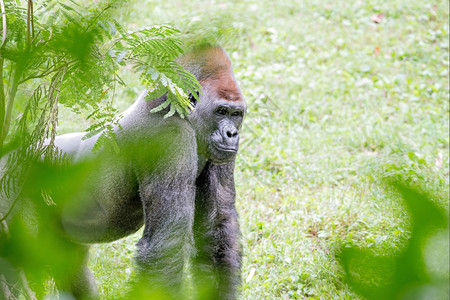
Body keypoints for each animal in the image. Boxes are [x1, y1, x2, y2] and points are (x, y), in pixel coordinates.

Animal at [47, 45, 244, 298]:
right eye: (221, 111)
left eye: (236, 114)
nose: (232, 134)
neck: (172, 107)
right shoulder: (170, 138)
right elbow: (166, 245)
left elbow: (217, 225)